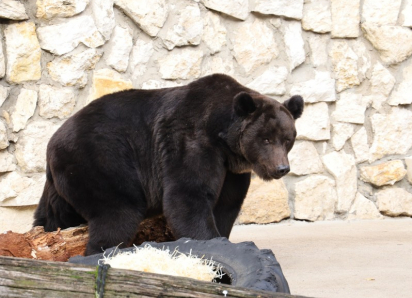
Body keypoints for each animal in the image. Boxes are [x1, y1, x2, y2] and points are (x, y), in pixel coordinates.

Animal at [33, 73, 304, 255]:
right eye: (266, 138)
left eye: (287, 139)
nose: (281, 168)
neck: (223, 139)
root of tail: (51, 143)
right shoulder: (192, 141)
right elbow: (188, 196)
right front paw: (209, 242)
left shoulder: (232, 171)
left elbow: (227, 204)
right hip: (100, 160)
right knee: (117, 212)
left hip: (65, 180)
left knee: (52, 216)